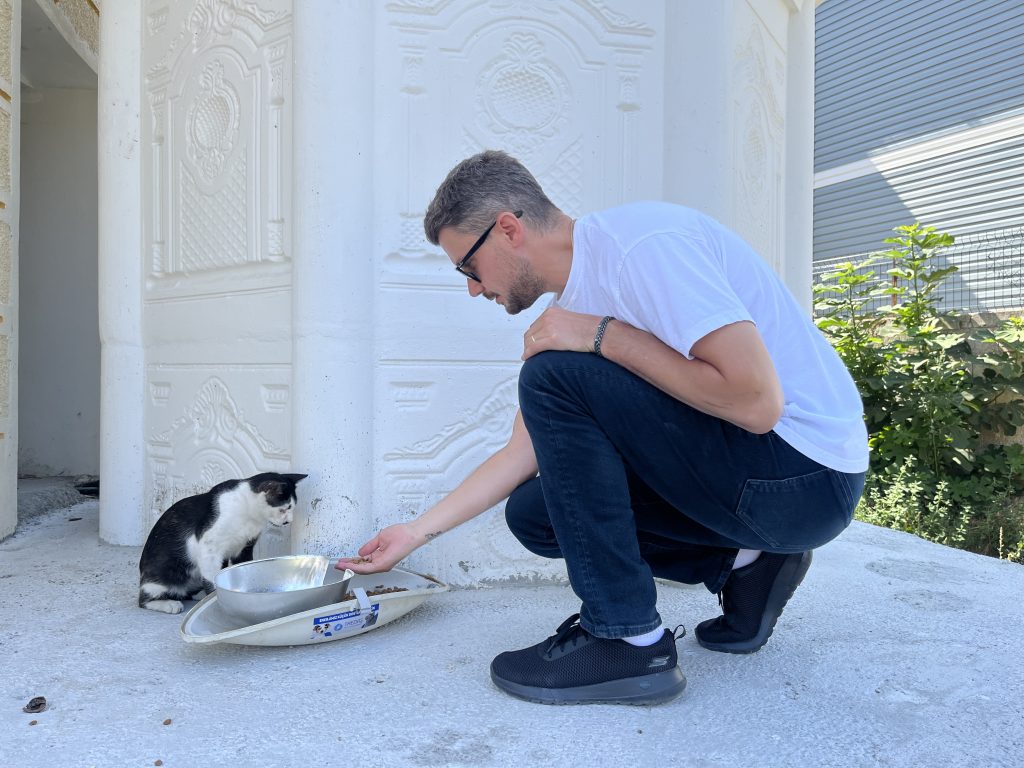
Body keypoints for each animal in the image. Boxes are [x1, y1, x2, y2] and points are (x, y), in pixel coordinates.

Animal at [138, 472, 307, 614]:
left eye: (292, 507)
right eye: (285, 508)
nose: (289, 521)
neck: (247, 512)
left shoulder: (245, 548)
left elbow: (244, 568)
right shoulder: (209, 547)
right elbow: (212, 576)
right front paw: (215, 599)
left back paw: (198, 594)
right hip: (164, 573)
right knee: (143, 600)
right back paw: (169, 604)